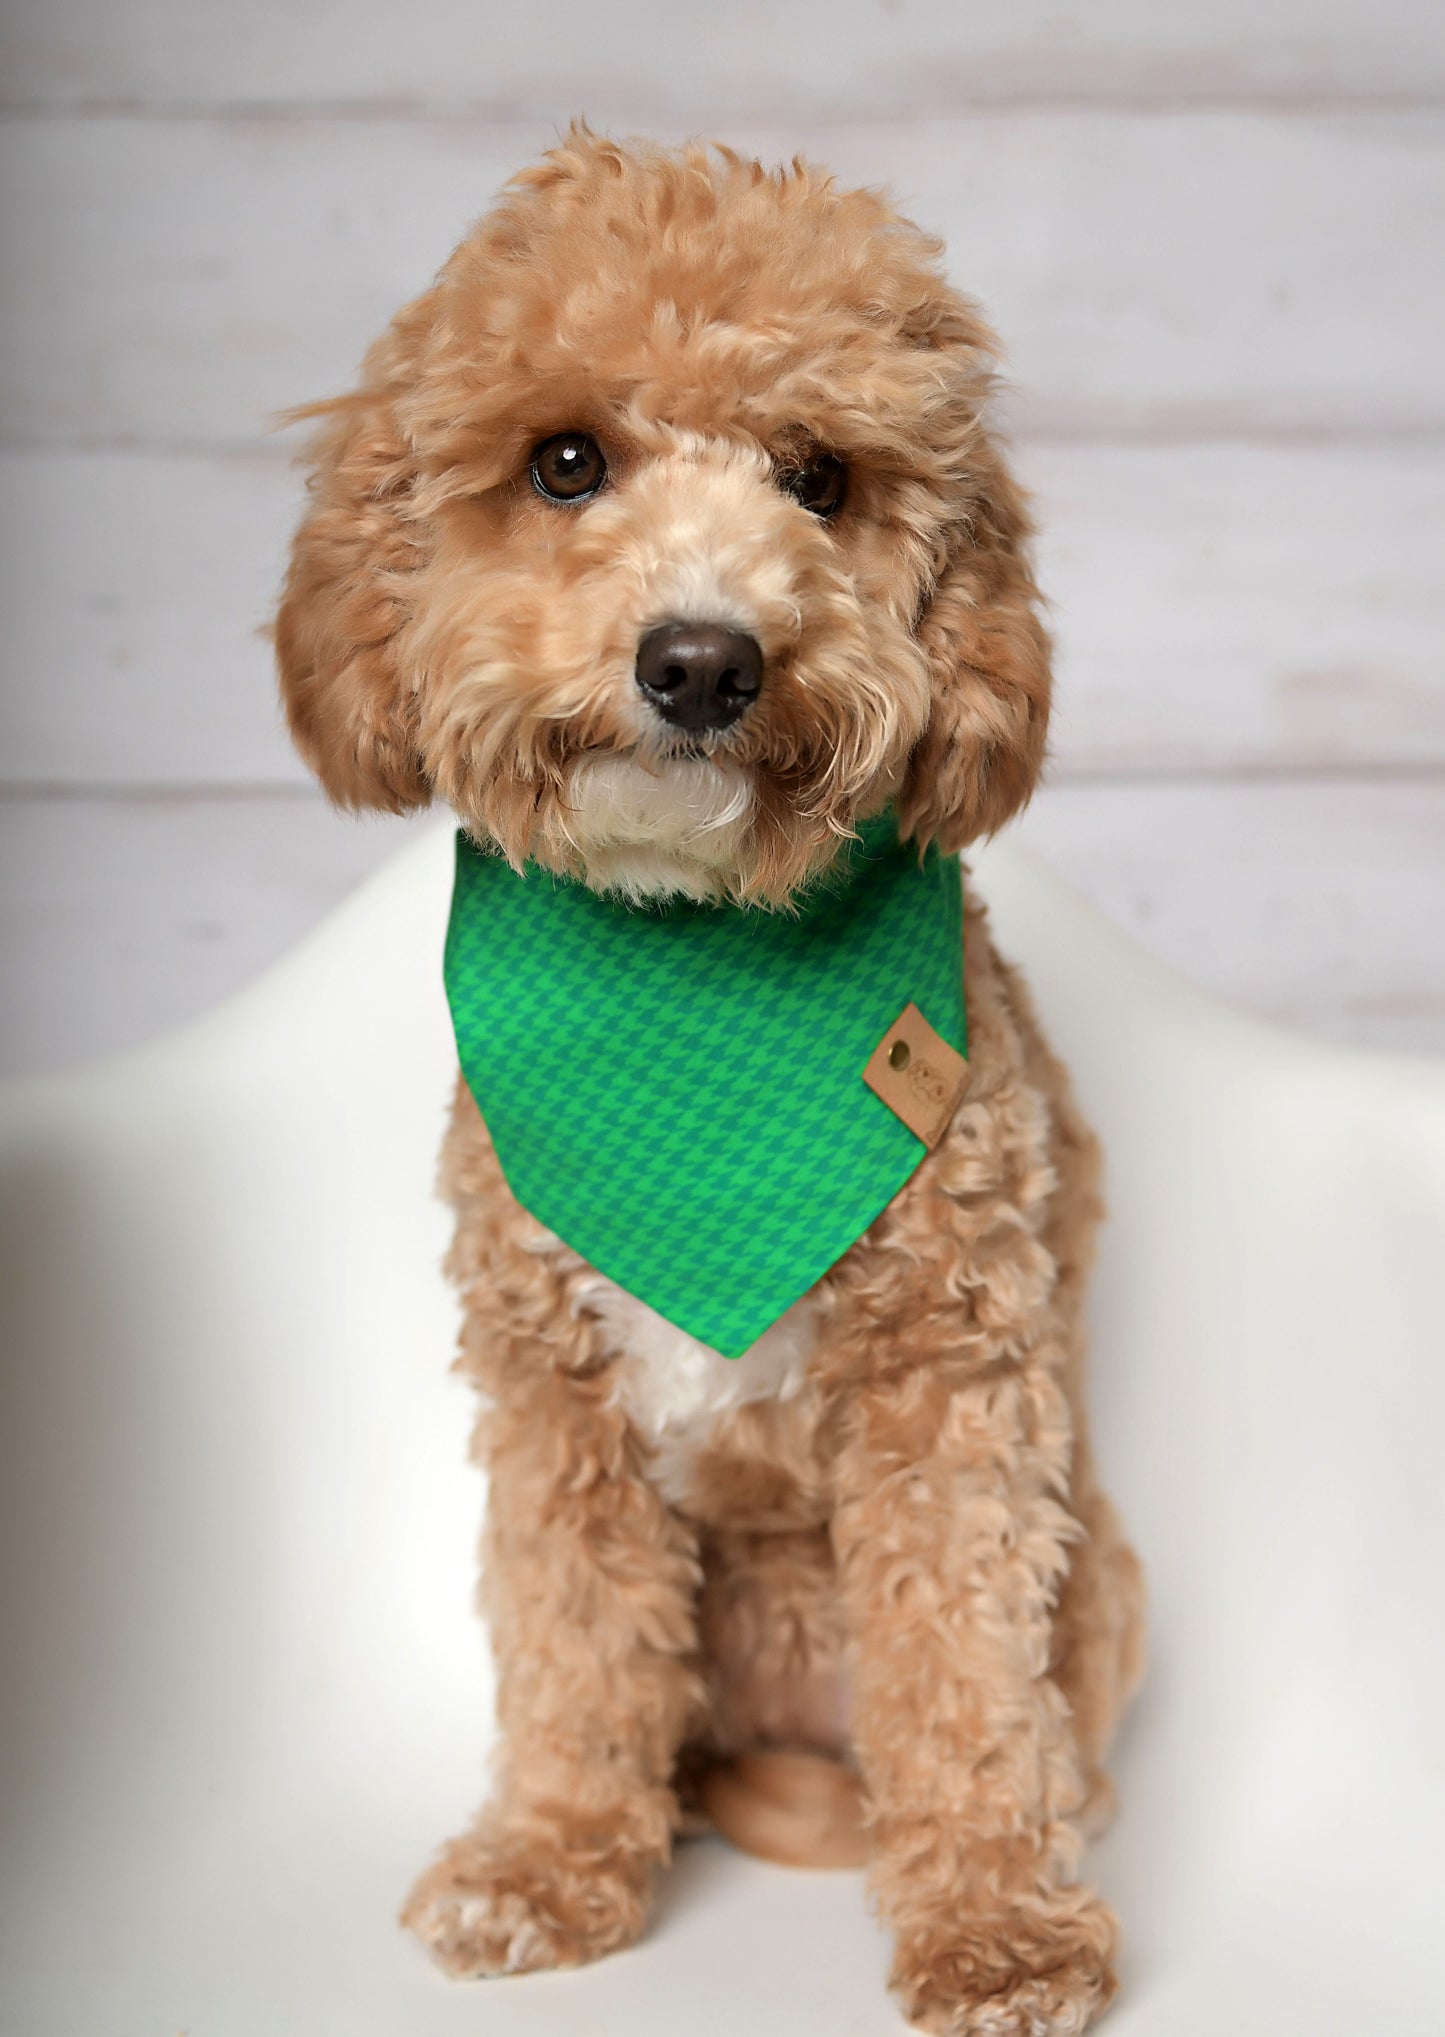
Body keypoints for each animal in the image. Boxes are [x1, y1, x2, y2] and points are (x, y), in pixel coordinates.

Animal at [277, 131, 1141, 2037]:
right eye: (565, 462)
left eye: (819, 480)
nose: (703, 660)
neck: (691, 966)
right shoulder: (550, 1400)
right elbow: (576, 1641)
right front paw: (550, 1861)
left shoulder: (948, 1391)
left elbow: (968, 1681)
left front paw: (998, 1930)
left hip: (1103, 1585)